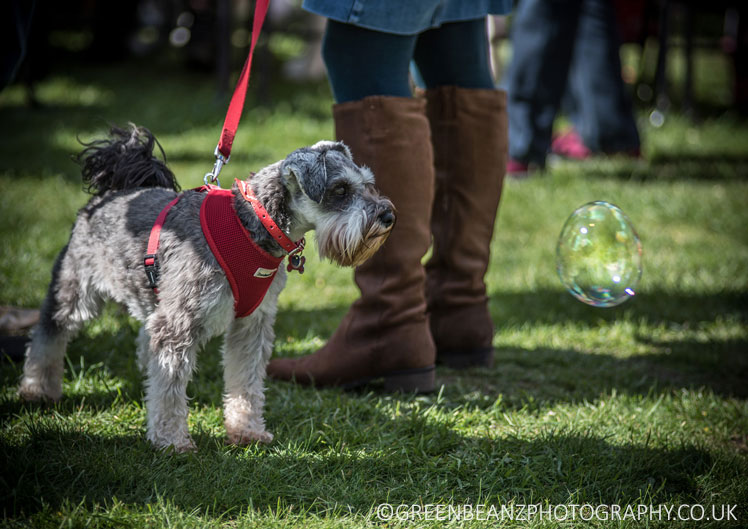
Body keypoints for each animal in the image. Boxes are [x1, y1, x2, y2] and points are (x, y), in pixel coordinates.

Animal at [17, 124, 394, 450]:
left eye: (367, 183)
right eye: (340, 190)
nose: (387, 215)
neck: (254, 222)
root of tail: (108, 194)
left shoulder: (251, 324)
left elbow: (247, 382)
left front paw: (247, 431)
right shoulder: (179, 323)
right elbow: (170, 388)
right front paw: (171, 440)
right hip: (75, 289)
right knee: (49, 333)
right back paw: (37, 390)